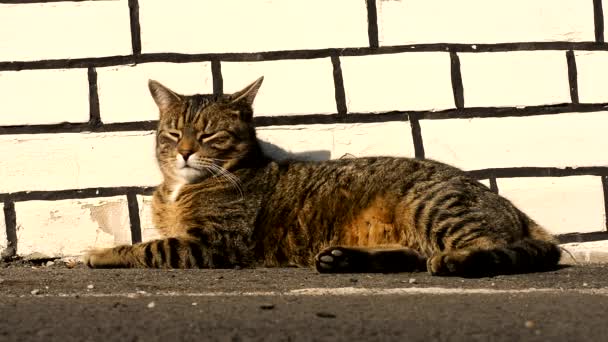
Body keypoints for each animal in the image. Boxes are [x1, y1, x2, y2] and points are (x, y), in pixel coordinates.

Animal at [85, 76, 560, 276]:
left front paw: (102, 252)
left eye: (209, 135)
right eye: (173, 133)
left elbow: (149, 248)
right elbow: (153, 243)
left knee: (489, 246)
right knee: (412, 253)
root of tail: (513, 208)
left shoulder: (214, 244)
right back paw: (344, 258)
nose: (185, 152)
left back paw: (456, 261)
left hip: (434, 207)